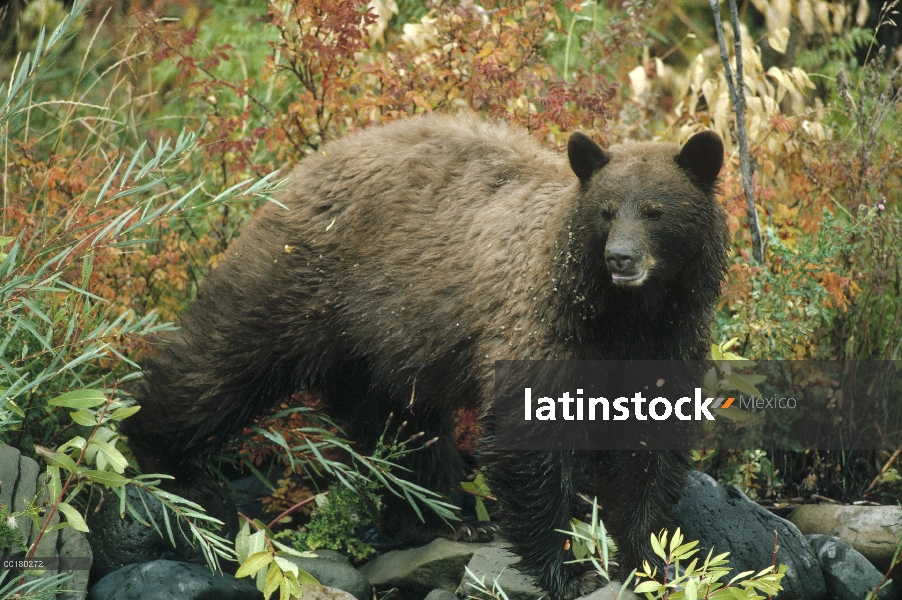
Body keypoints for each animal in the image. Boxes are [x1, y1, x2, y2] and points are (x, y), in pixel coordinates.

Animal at [127, 112, 732, 600]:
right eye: (606, 211)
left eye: (655, 211)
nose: (621, 258)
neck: (623, 315)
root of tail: (320, 156)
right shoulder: (541, 329)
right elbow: (531, 442)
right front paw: (567, 570)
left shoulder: (665, 347)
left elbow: (650, 450)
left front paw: (651, 557)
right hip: (303, 279)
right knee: (223, 362)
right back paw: (167, 460)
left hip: (387, 341)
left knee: (401, 425)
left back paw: (439, 517)